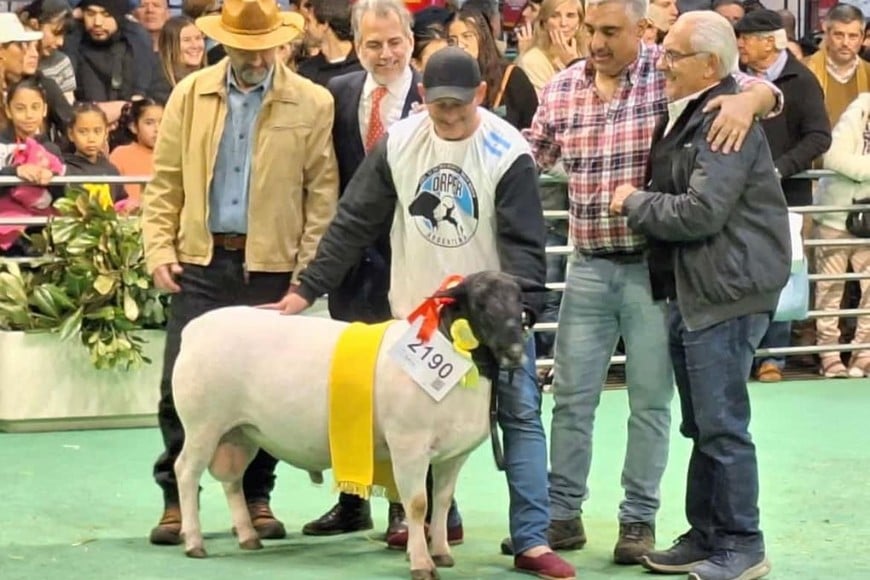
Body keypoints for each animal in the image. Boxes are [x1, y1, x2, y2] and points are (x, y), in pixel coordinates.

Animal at [170, 272, 536, 580]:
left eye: (518, 302)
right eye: (481, 302)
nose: (516, 352)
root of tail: (195, 329)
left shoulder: (453, 454)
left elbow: (443, 502)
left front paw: (442, 553)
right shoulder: (409, 445)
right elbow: (419, 504)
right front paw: (421, 563)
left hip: (240, 431)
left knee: (232, 480)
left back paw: (248, 537)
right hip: (202, 422)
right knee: (185, 471)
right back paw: (194, 542)